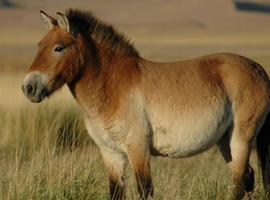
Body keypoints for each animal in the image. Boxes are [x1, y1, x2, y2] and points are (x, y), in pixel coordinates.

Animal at [21, 9, 270, 200]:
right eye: (39, 45)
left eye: (58, 48)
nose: (28, 88)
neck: (111, 86)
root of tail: (258, 69)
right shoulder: (111, 153)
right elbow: (115, 192)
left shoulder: (138, 149)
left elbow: (144, 190)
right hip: (226, 142)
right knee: (246, 178)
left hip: (241, 139)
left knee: (239, 183)